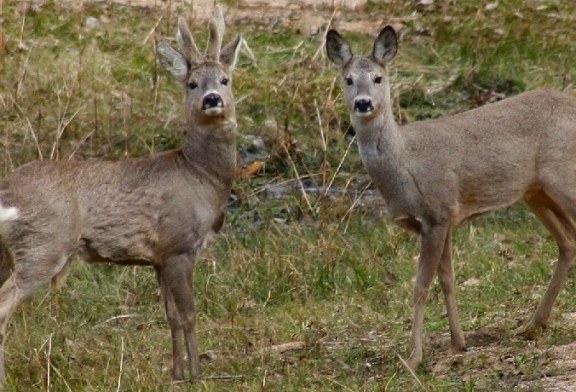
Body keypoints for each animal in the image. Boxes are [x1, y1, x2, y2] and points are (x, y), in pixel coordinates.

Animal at [0, 6, 241, 386]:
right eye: (192, 84)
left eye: (225, 79)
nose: (212, 99)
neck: (200, 176)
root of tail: (6, 193)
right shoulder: (179, 246)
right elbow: (189, 315)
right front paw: (196, 376)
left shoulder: (159, 258)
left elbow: (170, 316)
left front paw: (175, 374)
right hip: (42, 245)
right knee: (3, 307)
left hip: (9, 254)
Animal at [326, 26, 572, 370]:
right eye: (348, 79)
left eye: (378, 77)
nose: (363, 103)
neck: (404, 163)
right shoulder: (440, 221)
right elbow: (447, 280)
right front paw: (458, 343)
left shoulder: (437, 213)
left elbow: (421, 286)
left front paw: (414, 356)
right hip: (536, 192)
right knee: (568, 243)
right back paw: (533, 325)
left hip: (562, 179)